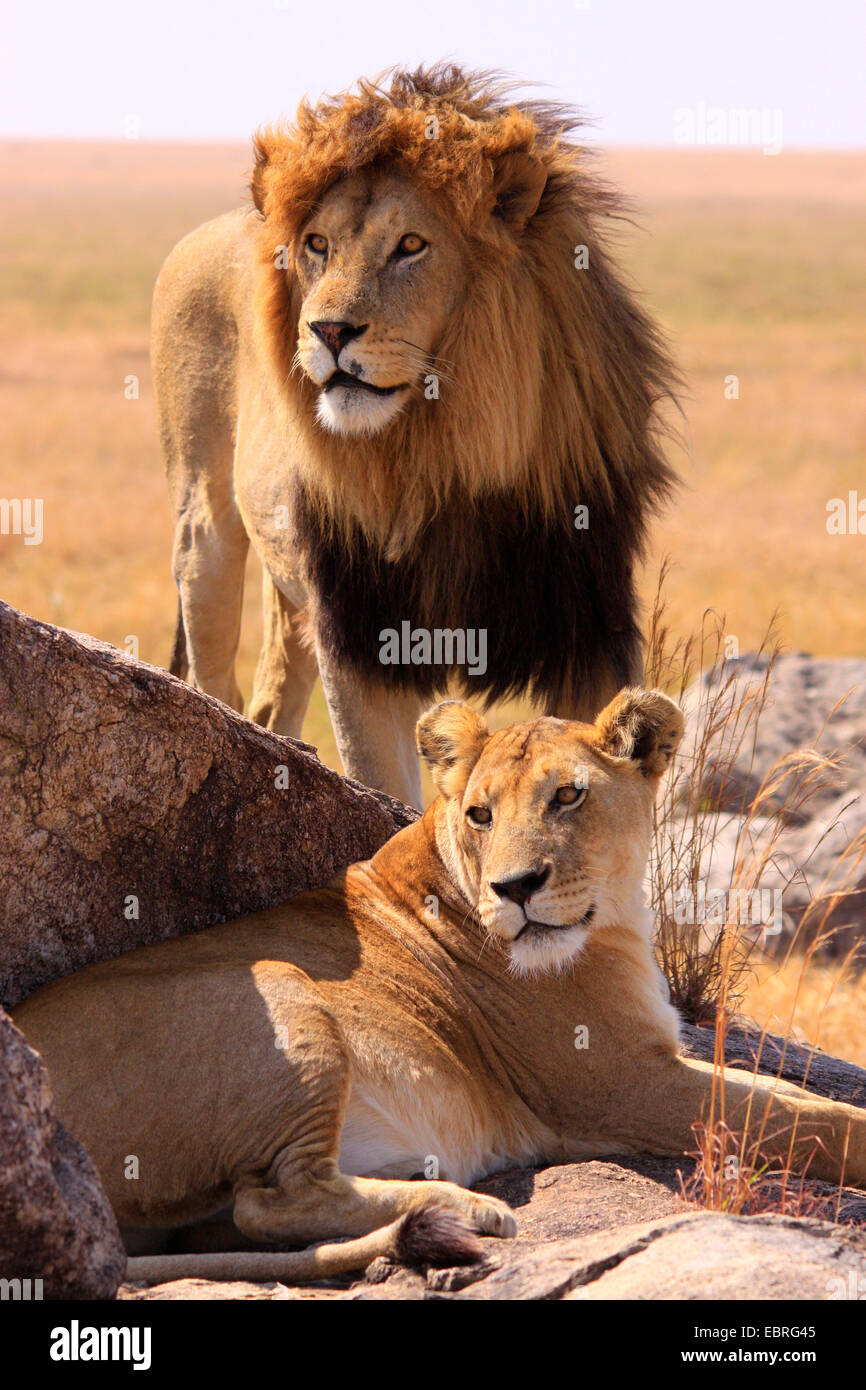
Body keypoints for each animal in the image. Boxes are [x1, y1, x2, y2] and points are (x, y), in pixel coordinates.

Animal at [15, 689, 866, 1284]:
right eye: (481, 814)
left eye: (568, 796)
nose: (515, 888)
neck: (617, 915)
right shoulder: (622, 1087)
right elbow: (809, 1120)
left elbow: (797, 1100)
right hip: (274, 987)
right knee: (272, 1201)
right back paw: (464, 1206)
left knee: (231, 1224)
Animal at [155, 65, 678, 806]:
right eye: (318, 246)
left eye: (410, 246)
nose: (328, 331)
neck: (444, 452)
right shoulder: (362, 634)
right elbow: (387, 788)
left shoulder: (587, 627)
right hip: (206, 530)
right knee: (212, 680)